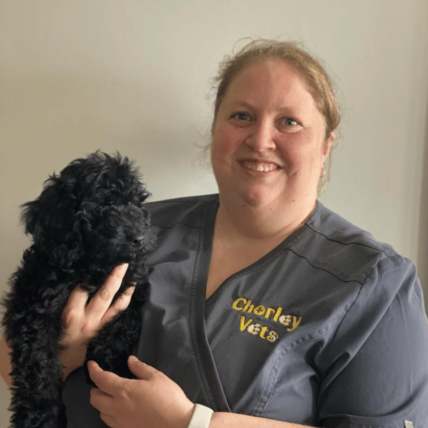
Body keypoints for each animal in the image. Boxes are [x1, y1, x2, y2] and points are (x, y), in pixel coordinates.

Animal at [1, 153, 155, 428]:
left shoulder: (132, 291)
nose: (139, 239)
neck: (94, 265)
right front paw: (40, 415)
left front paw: (109, 368)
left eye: (133, 203)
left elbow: (123, 325)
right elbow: (38, 364)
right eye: (100, 207)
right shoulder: (32, 310)